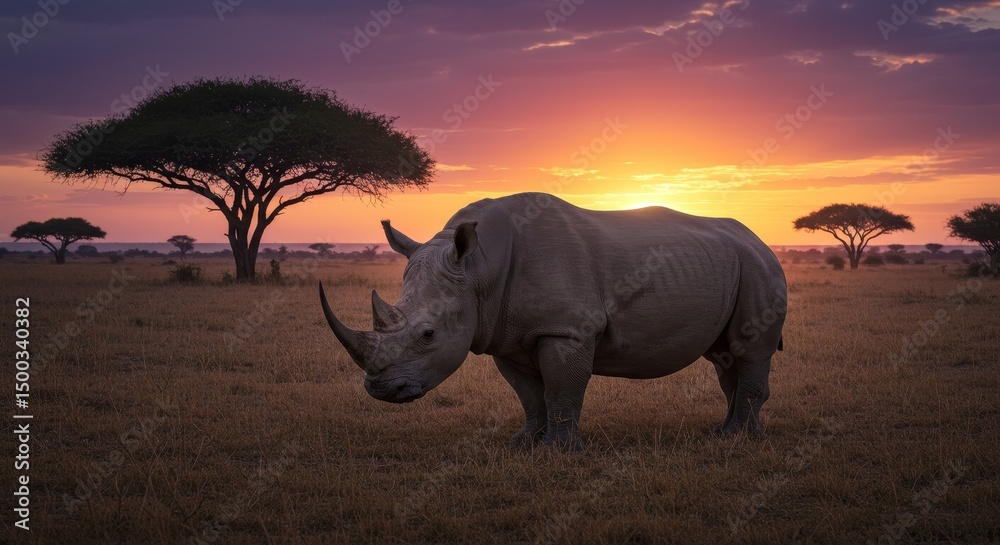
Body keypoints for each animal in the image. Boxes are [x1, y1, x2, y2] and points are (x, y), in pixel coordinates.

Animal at [320, 192, 786, 450]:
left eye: (428, 334)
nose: (382, 390)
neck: (478, 268)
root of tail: (760, 240)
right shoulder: (505, 335)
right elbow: (529, 394)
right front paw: (524, 444)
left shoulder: (567, 328)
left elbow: (562, 389)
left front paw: (559, 452)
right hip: (734, 264)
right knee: (725, 357)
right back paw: (726, 433)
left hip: (758, 265)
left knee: (748, 351)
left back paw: (737, 439)